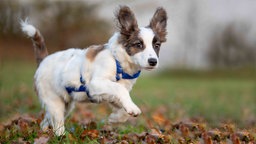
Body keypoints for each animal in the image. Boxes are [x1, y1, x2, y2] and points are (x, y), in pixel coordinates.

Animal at [20, 5, 168, 136]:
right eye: (138, 45)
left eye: (157, 45)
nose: (153, 61)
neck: (119, 62)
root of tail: (43, 60)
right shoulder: (95, 84)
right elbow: (120, 89)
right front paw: (131, 108)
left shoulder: (110, 95)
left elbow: (122, 103)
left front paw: (115, 118)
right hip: (54, 101)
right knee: (57, 123)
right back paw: (61, 136)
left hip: (65, 105)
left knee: (45, 121)